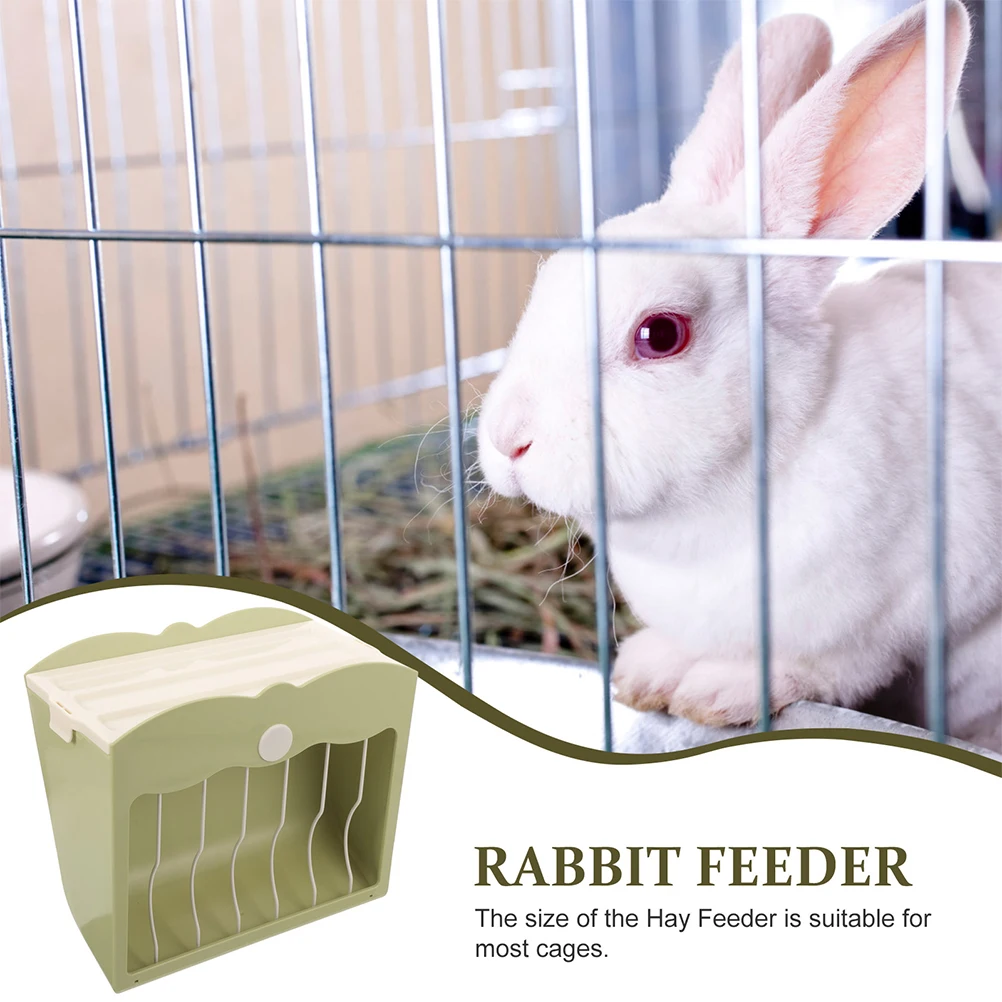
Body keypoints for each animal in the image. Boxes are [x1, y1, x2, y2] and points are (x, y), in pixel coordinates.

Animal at [477, 0, 1002, 753]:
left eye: (660, 334)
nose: (507, 439)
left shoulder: (886, 627)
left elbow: (827, 666)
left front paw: (716, 691)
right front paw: (646, 673)